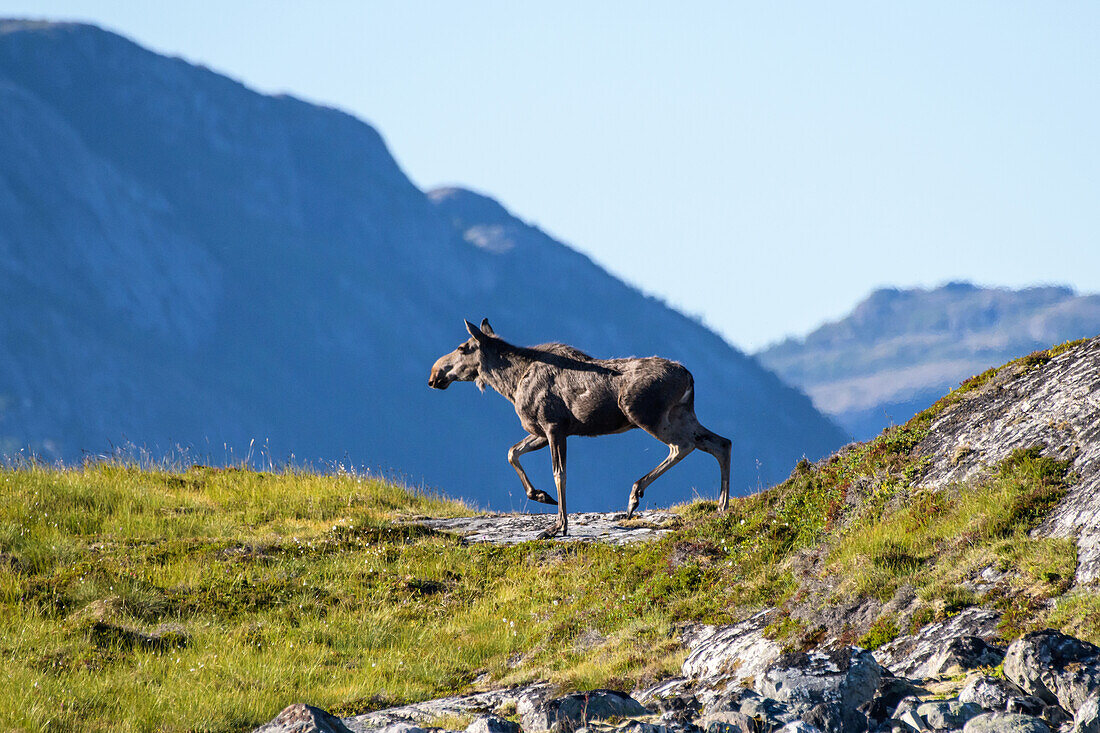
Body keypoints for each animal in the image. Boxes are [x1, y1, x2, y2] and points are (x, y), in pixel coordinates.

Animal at [429, 319, 730, 537]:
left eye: (462, 347)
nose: (434, 373)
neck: (511, 385)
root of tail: (689, 376)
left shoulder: (553, 426)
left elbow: (559, 474)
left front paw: (558, 526)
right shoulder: (542, 432)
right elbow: (512, 453)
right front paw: (541, 496)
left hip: (644, 413)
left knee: (683, 445)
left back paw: (635, 495)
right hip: (682, 413)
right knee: (721, 442)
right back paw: (721, 505)